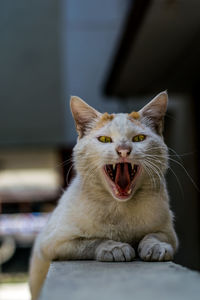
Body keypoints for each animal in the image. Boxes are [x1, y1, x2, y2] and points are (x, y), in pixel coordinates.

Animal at [28, 92, 178, 300]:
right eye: (105, 140)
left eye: (139, 138)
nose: (123, 150)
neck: (120, 207)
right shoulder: (53, 243)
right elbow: (91, 241)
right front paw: (114, 247)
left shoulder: (168, 233)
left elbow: (154, 235)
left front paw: (155, 247)